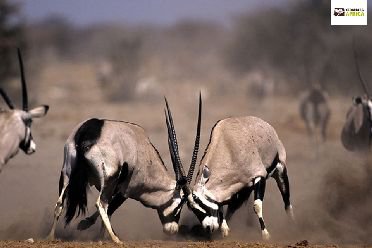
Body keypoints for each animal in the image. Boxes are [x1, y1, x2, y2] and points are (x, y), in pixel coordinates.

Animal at [47, 96, 202, 243]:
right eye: (180, 203)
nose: (172, 230)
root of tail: (87, 134)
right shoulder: (125, 190)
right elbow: (110, 209)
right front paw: (94, 231)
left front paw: (95, 231)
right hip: (109, 178)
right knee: (101, 204)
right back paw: (116, 239)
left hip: (67, 173)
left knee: (59, 204)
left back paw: (50, 237)